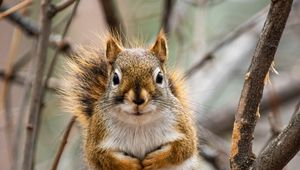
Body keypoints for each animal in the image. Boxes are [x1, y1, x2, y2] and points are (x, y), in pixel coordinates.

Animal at [60, 30, 200, 170]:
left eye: (160, 77)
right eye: (115, 78)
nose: (138, 99)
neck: (139, 123)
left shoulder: (180, 125)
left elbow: (184, 148)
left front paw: (154, 160)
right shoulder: (98, 135)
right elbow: (101, 156)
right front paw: (130, 165)